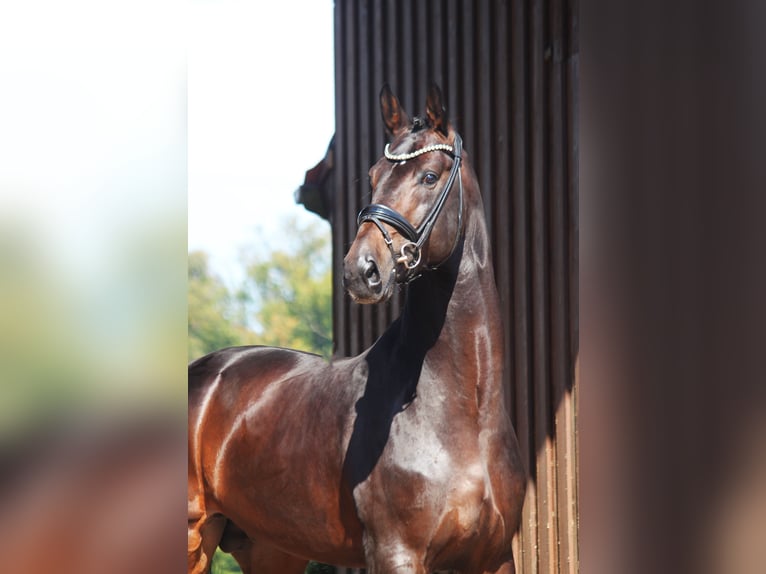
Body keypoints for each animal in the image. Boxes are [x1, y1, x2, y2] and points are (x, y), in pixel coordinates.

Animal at [190, 85, 528, 574]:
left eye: (429, 176)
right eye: (372, 177)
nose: (360, 271)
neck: (465, 412)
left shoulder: (495, 557)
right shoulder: (396, 552)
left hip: (271, 549)